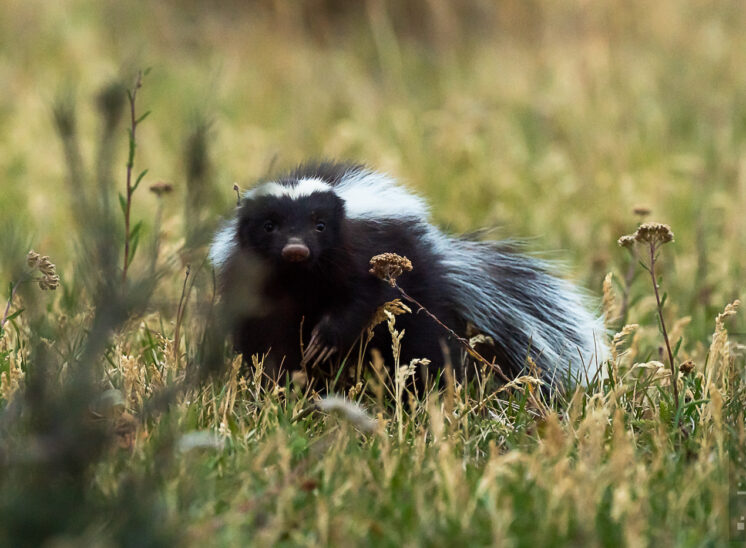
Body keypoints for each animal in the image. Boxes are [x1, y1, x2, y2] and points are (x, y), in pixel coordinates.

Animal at [209, 161, 604, 388]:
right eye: (269, 226)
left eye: (319, 225)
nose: (295, 249)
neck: (300, 278)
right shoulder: (253, 284)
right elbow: (269, 340)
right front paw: (280, 382)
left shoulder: (366, 254)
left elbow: (364, 298)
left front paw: (325, 338)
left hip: (418, 291)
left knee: (424, 343)